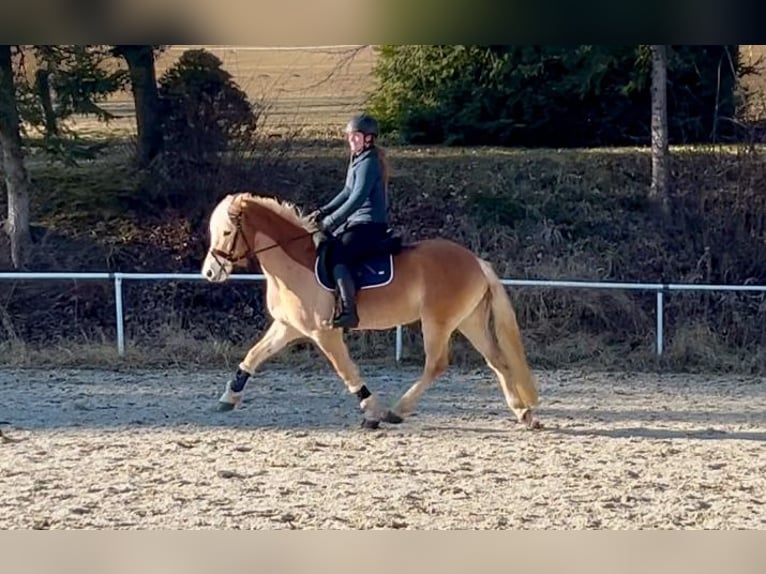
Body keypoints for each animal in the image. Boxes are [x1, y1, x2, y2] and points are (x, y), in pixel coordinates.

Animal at [201, 194, 544, 432]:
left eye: (227, 232)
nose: (209, 273)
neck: (293, 264)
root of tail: (476, 261)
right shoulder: (287, 326)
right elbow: (253, 356)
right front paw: (228, 398)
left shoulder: (324, 333)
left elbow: (347, 371)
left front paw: (372, 411)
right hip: (469, 321)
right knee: (496, 360)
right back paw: (523, 413)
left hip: (438, 322)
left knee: (437, 364)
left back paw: (396, 411)